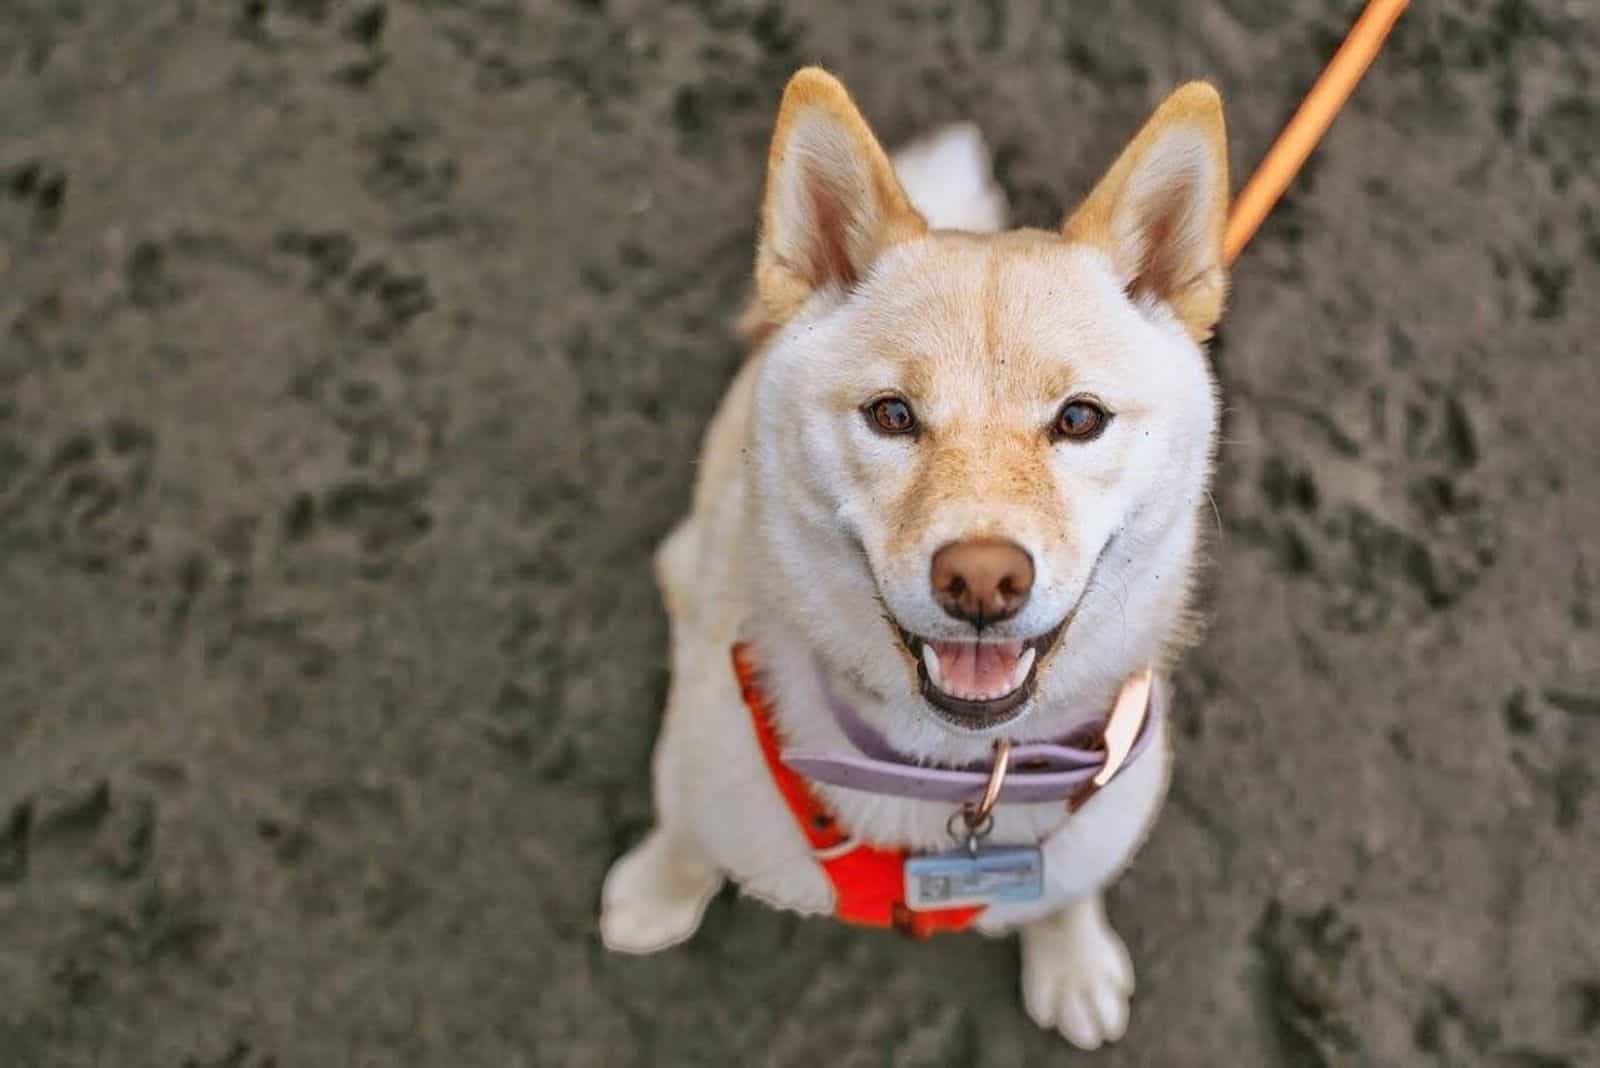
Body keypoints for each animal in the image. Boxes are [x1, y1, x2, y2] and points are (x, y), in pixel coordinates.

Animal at [601, 68, 1222, 1048]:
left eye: (1079, 419)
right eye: (892, 415)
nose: (982, 579)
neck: (941, 774)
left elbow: (1069, 890)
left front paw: (1071, 958)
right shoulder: (701, 757)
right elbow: (685, 829)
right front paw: (659, 890)